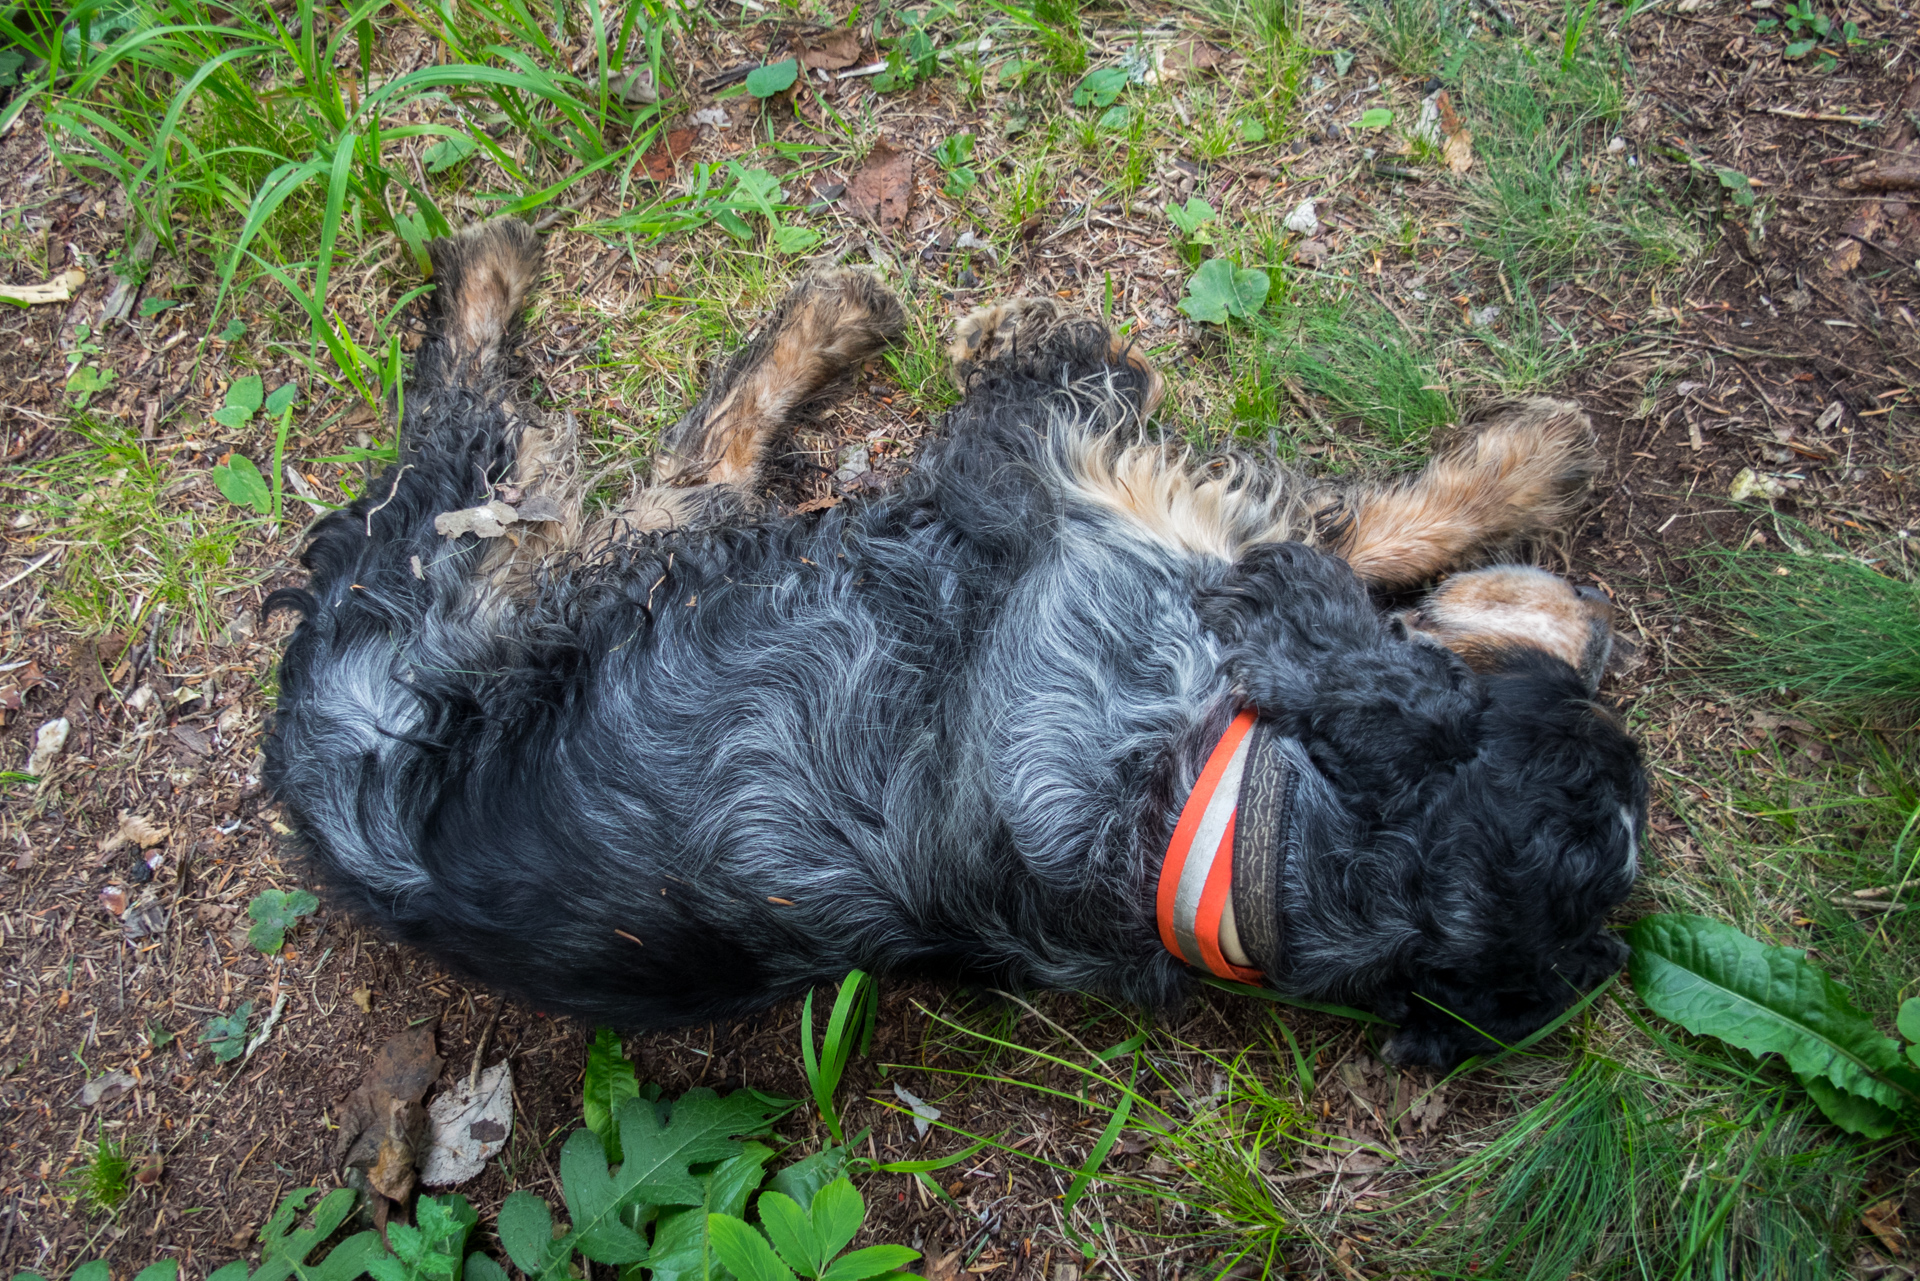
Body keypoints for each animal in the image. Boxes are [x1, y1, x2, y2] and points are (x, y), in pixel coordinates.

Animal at [266, 217, 1651, 1060]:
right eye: (1589, 729)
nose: (1599, 631)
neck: (1226, 837)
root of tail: (315, 801)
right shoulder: (1080, 491)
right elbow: (1349, 532)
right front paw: (1535, 463)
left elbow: (1330, 533)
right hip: (497, 589)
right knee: (503, 435)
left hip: (531, 577)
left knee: (619, 443)